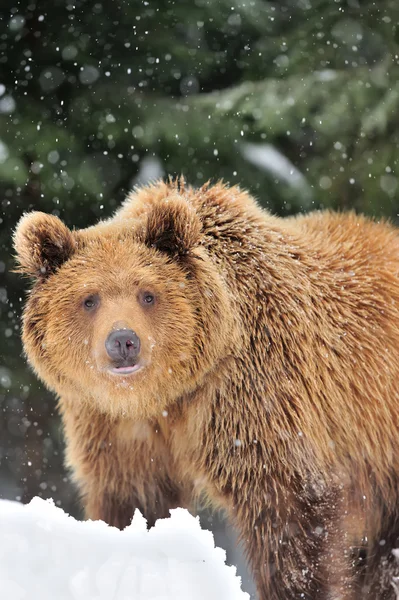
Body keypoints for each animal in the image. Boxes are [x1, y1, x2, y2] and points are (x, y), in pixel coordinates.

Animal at [14, 179, 399, 600]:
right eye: (89, 298)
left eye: (147, 293)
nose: (123, 341)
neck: (169, 394)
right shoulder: (115, 427)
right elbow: (134, 499)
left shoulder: (256, 400)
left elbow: (291, 517)